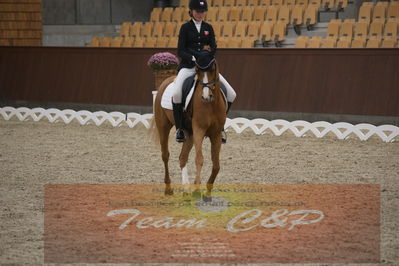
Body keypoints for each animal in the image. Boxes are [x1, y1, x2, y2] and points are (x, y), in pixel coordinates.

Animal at [152, 60, 227, 197]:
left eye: (213, 70)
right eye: (198, 71)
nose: (206, 96)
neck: (211, 104)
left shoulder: (216, 134)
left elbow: (216, 165)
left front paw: (207, 191)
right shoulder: (199, 130)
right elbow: (199, 159)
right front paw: (197, 189)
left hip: (189, 134)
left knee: (182, 157)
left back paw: (186, 190)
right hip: (163, 127)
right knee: (165, 155)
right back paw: (169, 188)